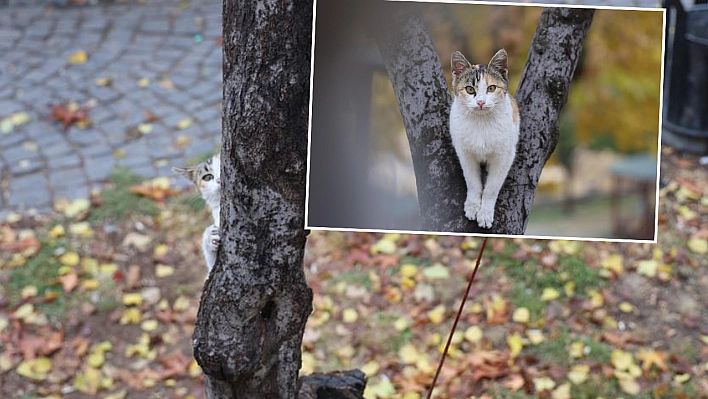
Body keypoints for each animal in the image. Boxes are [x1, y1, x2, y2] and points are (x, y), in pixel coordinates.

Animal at [448, 49, 520, 230]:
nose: (480, 102)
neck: (481, 122)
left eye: (491, 88)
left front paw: (485, 214)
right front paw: (472, 206)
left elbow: (491, 188)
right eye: (469, 89)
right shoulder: (465, 154)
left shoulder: (504, 158)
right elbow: (473, 182)